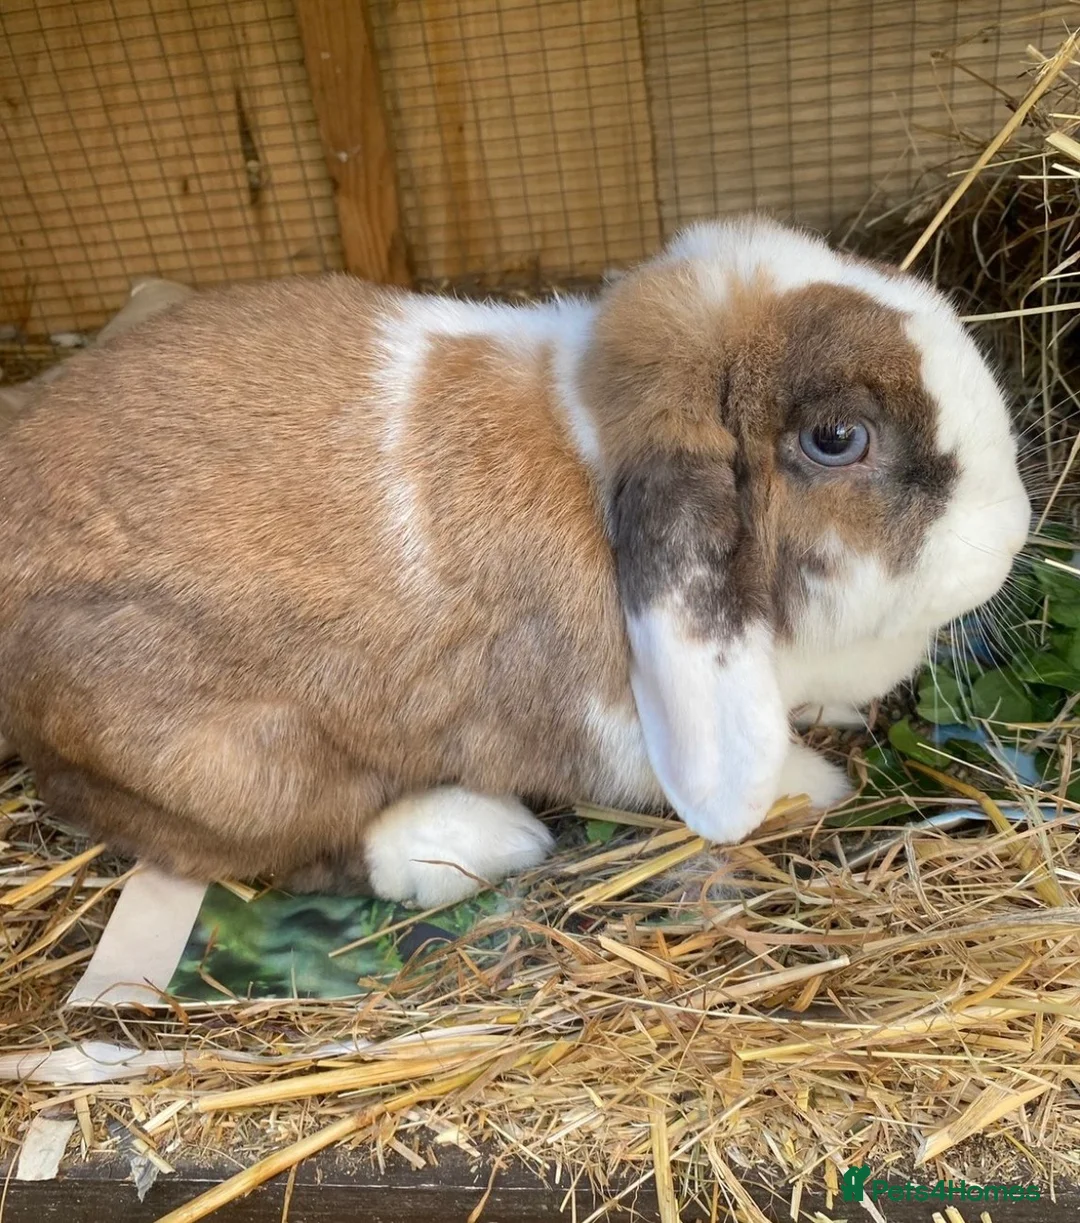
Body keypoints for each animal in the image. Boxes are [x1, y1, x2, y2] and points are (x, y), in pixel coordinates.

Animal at [0, 215, 1030, 906]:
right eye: (836, 438)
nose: (1016, 526)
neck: (594, 462)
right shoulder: (625, 727)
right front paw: (816, 786)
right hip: (223, 763)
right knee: (280, 847)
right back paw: (479, 840)